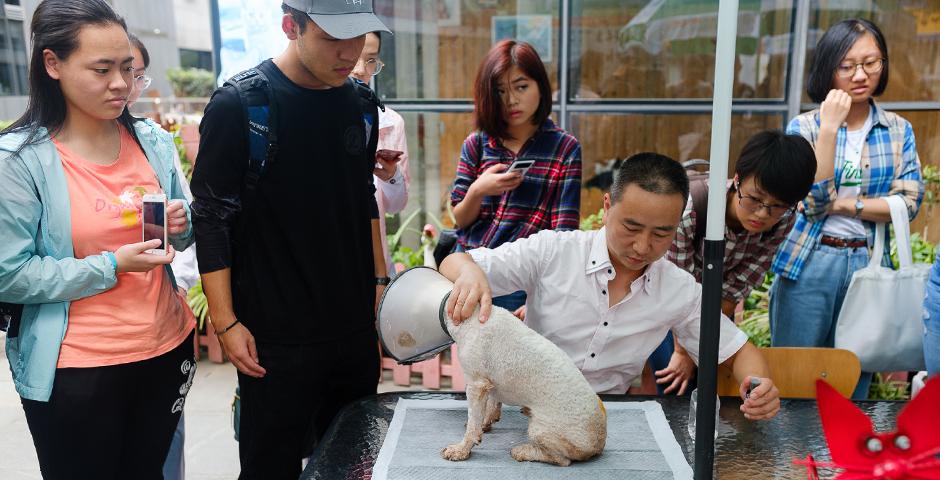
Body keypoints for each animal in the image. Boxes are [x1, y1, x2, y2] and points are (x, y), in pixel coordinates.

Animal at [438, 306, 604, 466]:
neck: (471, 315)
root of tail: (597, 445)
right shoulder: (489, 384)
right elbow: (491, 406)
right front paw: (485, 424)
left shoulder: (476, 384)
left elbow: (473, 424)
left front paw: (461, 450)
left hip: (540, 429)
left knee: (562, 460)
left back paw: (522, 451)